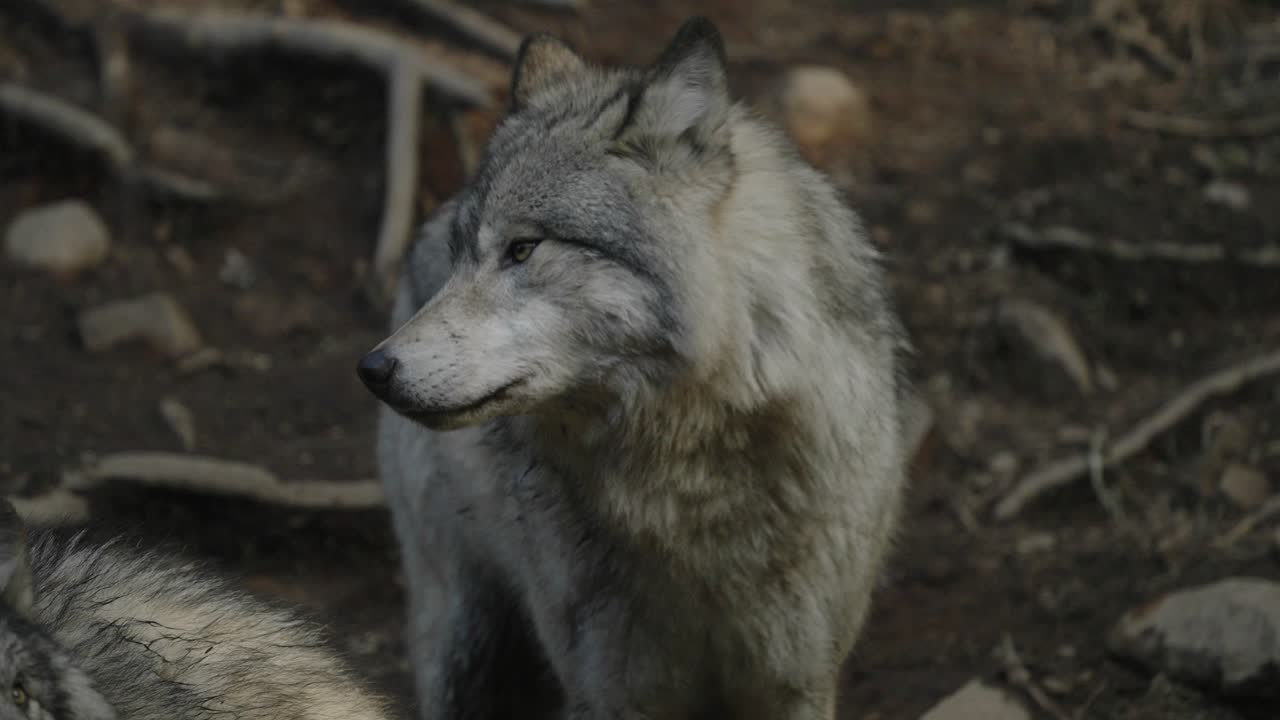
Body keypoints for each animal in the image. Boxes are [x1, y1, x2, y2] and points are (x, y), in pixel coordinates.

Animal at [359, 16, 908, 720]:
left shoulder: (795, 681)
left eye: (523, 249)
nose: (374, 368)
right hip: (464, 643)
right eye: (461, 259)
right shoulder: (613, 690)